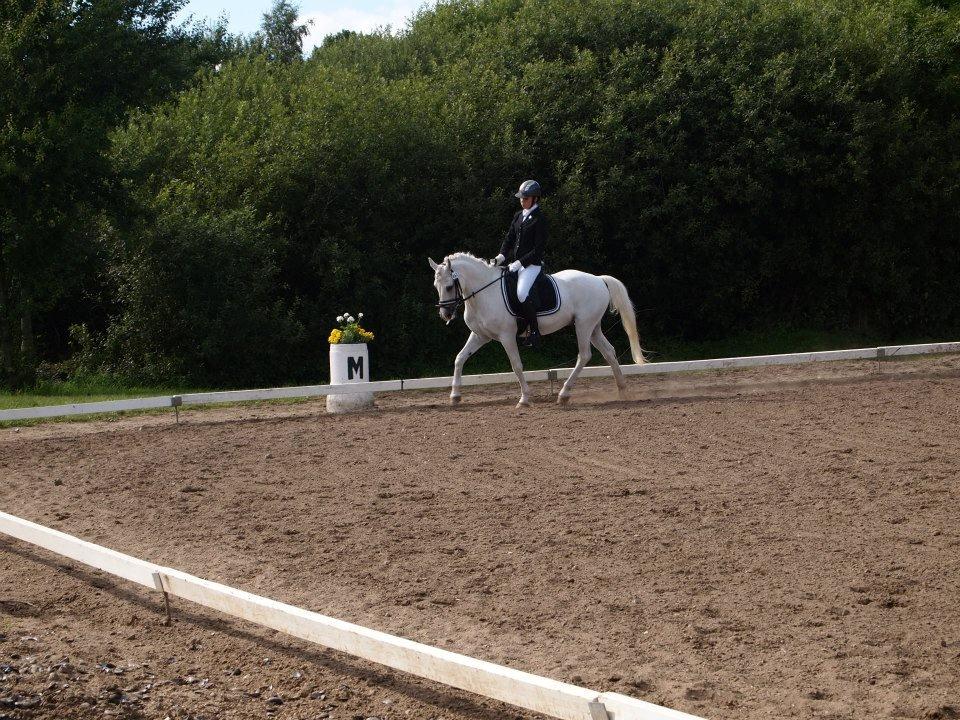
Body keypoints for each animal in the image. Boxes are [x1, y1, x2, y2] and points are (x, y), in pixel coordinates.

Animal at [430, 253, 644, 408]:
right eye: (436, 285)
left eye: (448, 286)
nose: (445, 314)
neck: (484, 293)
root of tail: (599, 280)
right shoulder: (480, 335)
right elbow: (459, 358)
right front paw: (455, 395)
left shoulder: (506, 336)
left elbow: (516, 365)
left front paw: (524, 399)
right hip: (592, 327)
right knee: (608, 352)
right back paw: (623, 391)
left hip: (583, 325)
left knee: (584, 355)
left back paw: (564, 394)